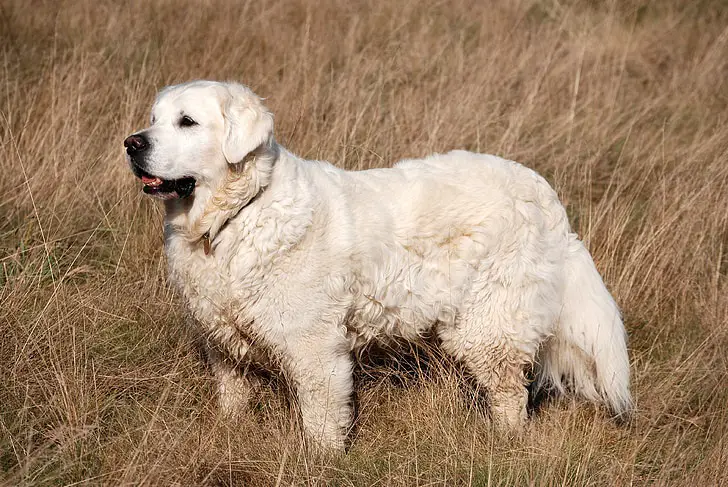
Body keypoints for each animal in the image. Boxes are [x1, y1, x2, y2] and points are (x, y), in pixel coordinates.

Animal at [123, 80, 632, 450]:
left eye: (187, 122)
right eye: (154, 119)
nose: (131, 143)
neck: (236, 216)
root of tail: (544, 195)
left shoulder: (313, 349)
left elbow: (321, 419)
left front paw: (321, 463)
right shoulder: (222, 338)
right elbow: (233, 396)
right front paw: (231, 434)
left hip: (490, 324)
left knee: (509, 394)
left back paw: (504, 444)